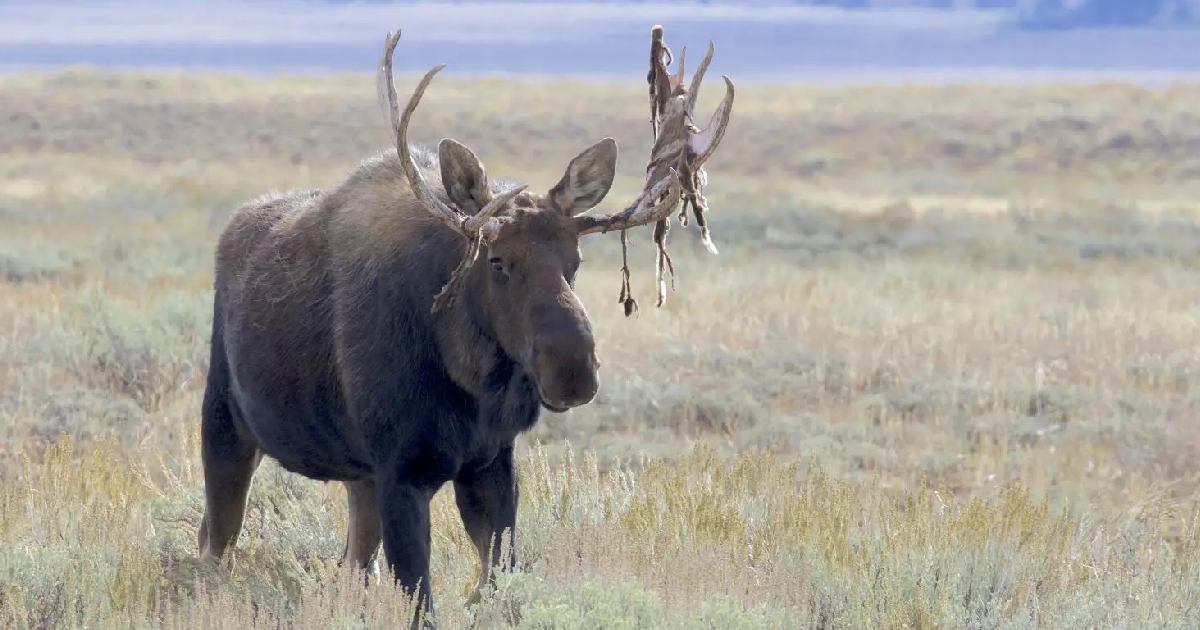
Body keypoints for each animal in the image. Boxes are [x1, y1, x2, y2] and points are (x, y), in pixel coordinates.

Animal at [196, 27, 729, 619]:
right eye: (496, 261)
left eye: (575, 261)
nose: (573, 371)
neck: (471, 382)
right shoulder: (401, 470)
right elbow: (421, 600)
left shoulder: (489, 462)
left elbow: (499, 579)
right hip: (224, 422)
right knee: (214, 541)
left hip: (357, 476)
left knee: (353, 561)